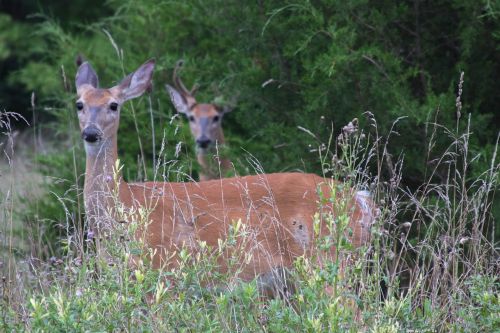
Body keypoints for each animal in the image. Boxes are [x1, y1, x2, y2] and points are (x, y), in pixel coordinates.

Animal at [76, 57, 376, 298]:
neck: (126, 203)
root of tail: (360, 199)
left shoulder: (163, 273)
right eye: (79, 104)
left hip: (328, 262)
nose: (90, 132)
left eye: (114, 105)